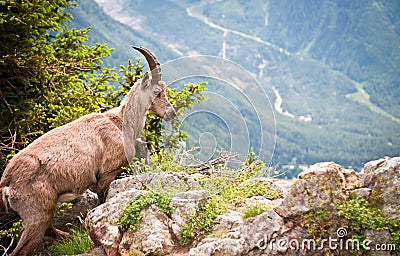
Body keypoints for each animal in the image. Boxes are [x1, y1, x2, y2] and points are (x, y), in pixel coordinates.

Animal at [0, 46, 176, 256]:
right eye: (157, 91)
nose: (171, 113)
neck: (119, 123)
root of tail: (6, 183)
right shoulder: (107, 174)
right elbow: (101, 201)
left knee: (49, 230)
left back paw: (70, 238)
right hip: (37, 212)